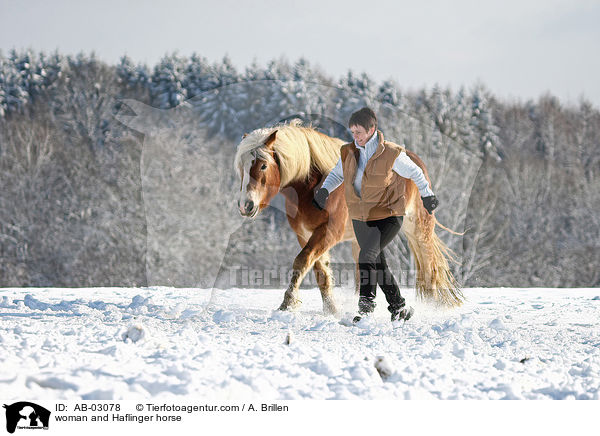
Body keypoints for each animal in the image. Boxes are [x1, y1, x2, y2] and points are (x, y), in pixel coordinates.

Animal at [234, 119, 464, 316]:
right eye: (241, 168)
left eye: (263, 165)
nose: (246, 205)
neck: (315, 186)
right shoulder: (305, 234)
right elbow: (320, 272)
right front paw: (331, 310)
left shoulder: (328, 233)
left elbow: (301, 261)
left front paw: (287, 303)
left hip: (418, 229)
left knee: (429, 264)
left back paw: (430, 307)